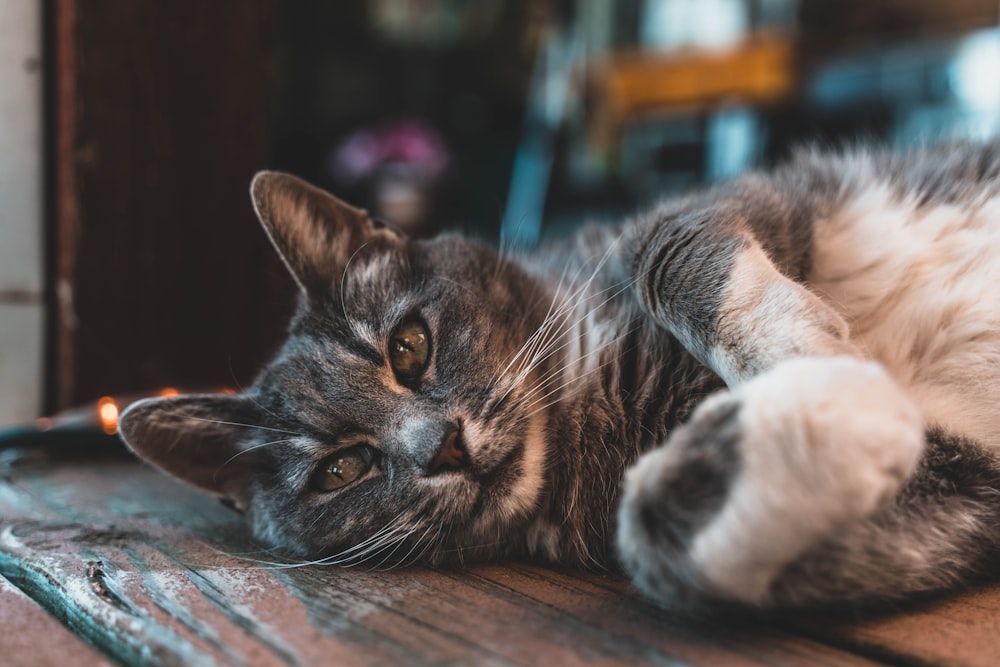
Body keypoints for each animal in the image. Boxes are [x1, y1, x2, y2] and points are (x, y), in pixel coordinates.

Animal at [119, 141, 1000, 612]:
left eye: (407, 347)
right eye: (342, 469)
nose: (442, 445)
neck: (588, 398)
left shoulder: (735, 201)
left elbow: (662, 251)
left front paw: (814, 356)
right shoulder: (967, 496)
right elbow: (655, 531)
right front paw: (847, 411)